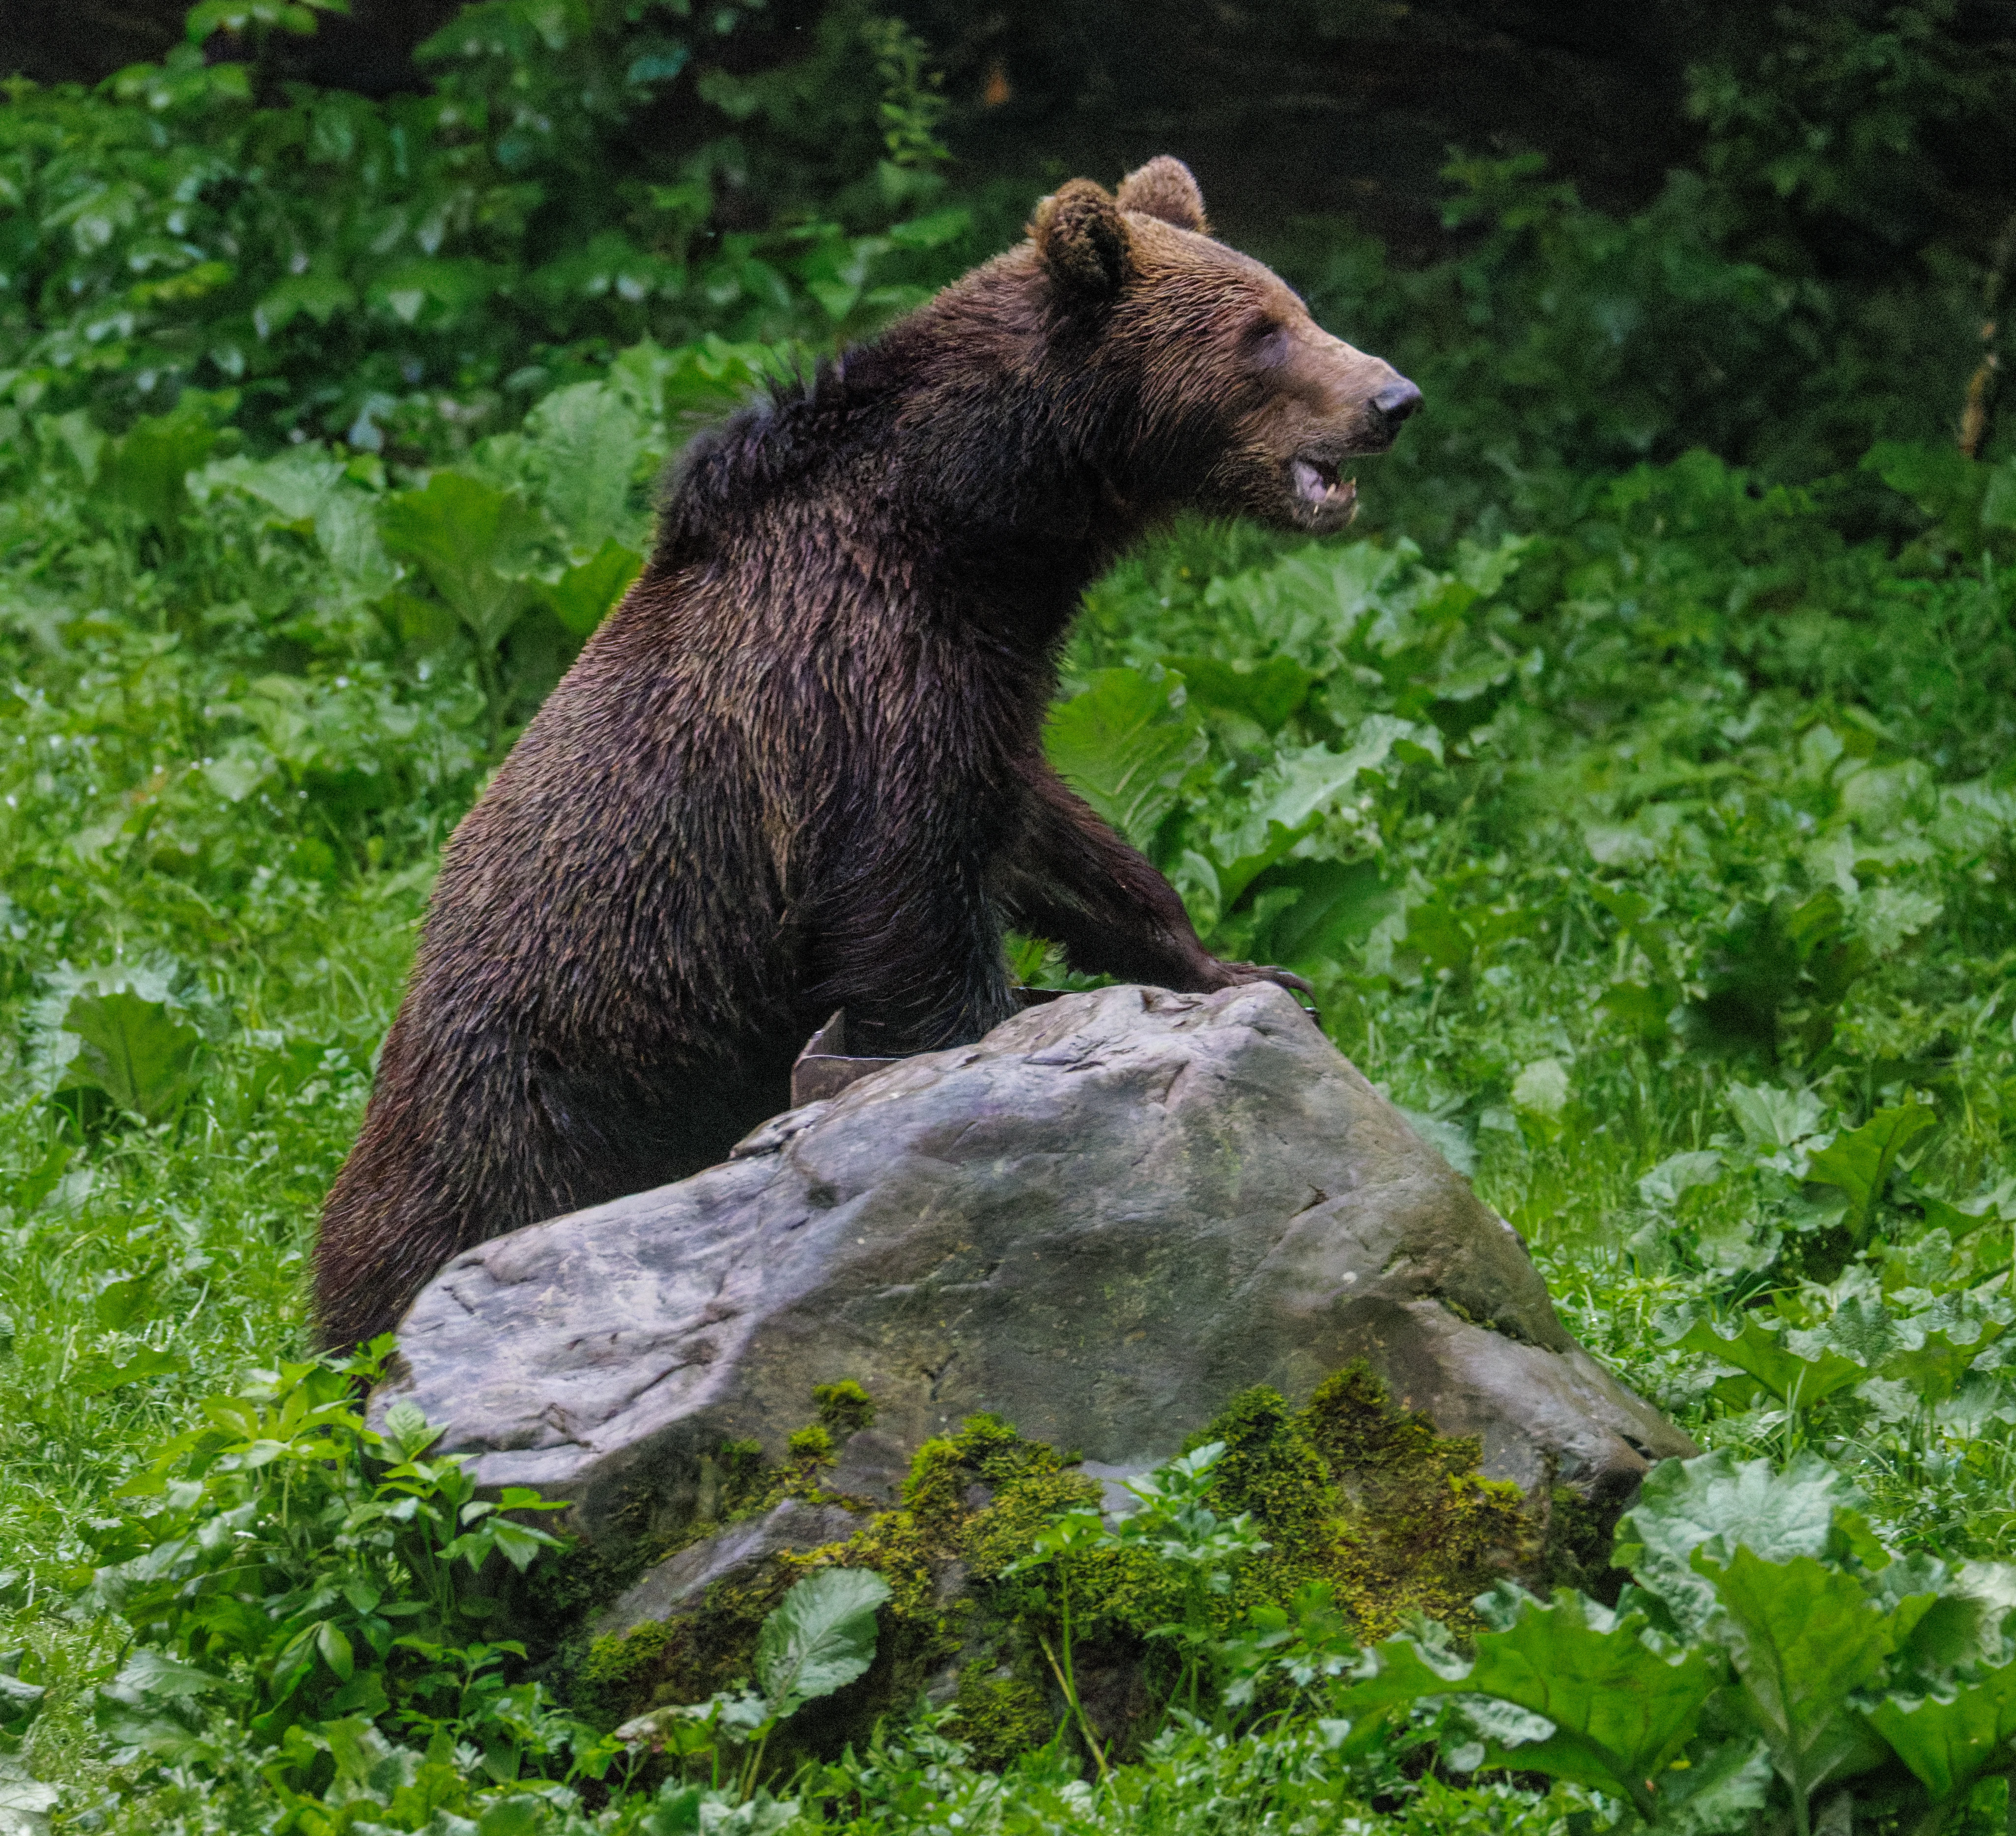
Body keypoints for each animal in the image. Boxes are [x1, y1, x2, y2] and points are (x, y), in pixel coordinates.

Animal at [313, 156, 1421, 1348]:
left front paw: (1240, 966)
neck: (979, 533)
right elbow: (907, 919)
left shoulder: (981, 692)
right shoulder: (852, 691)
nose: (1391, 400)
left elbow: (1052, 839)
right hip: (536, 1111)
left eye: (1292, 304)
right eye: (1261, 333)